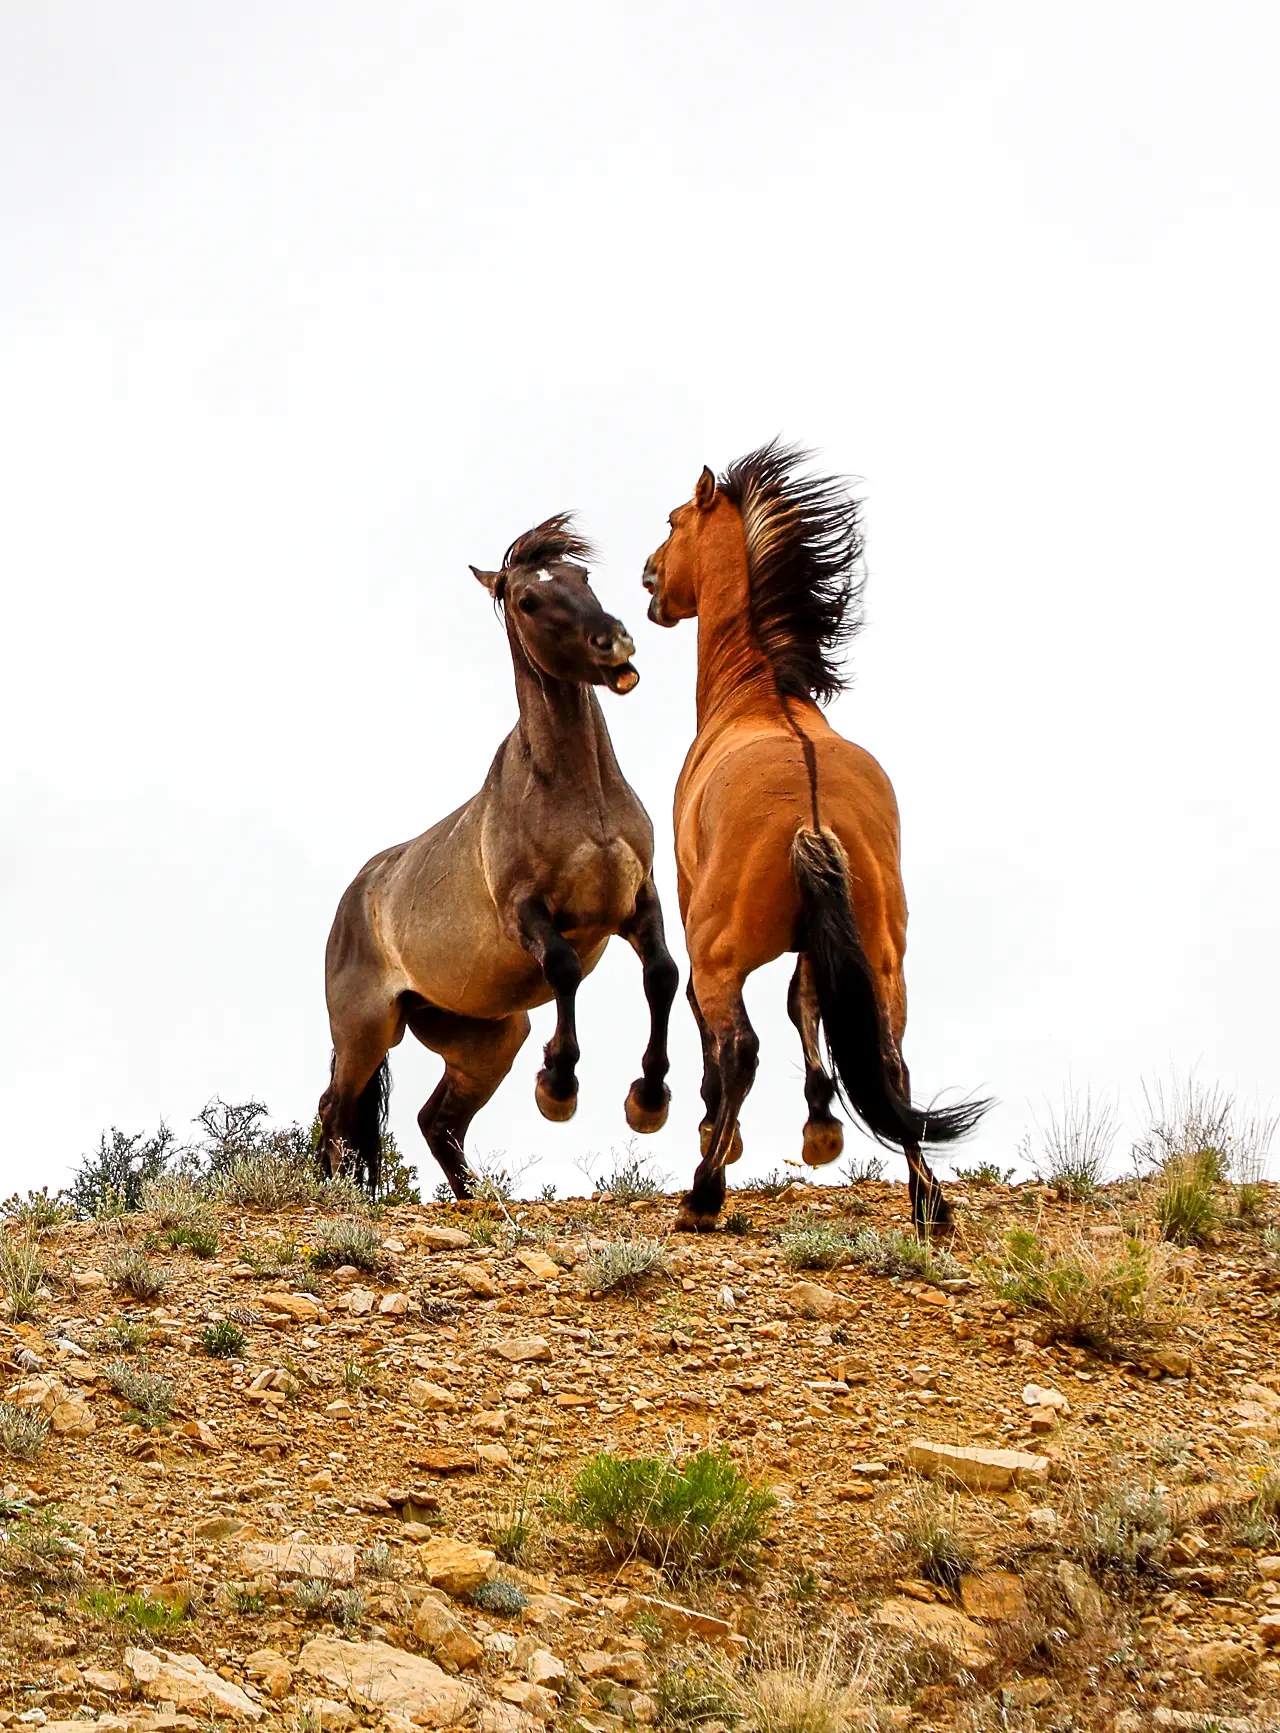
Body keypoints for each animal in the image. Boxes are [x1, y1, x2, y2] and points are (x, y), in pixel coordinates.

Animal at [318, 509, 682, 1192]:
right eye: (528, 600)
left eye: (582, 576)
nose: (614, 642)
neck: (579, 801)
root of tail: (355, 898)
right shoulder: (528, 913)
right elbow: (564, 968)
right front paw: (559, 1086)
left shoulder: (638, 900)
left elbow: (664, 974)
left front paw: (648, 1100)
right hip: (365, 1030)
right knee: (336, 1108)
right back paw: (326, 1194)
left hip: (486, 1039)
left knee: (437, 1121)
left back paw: (470, 1197)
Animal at [640, 447, 990, 1233]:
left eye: (674, 521)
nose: (649, 577)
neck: (758, 695)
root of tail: (811, 812)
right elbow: (809, 1006)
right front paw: (822, 1126)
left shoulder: (688, 910)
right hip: (885, 957)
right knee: (889, 1062)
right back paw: (929, 1203)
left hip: (719, 951)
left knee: (739, 1047)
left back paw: (703, 1194)